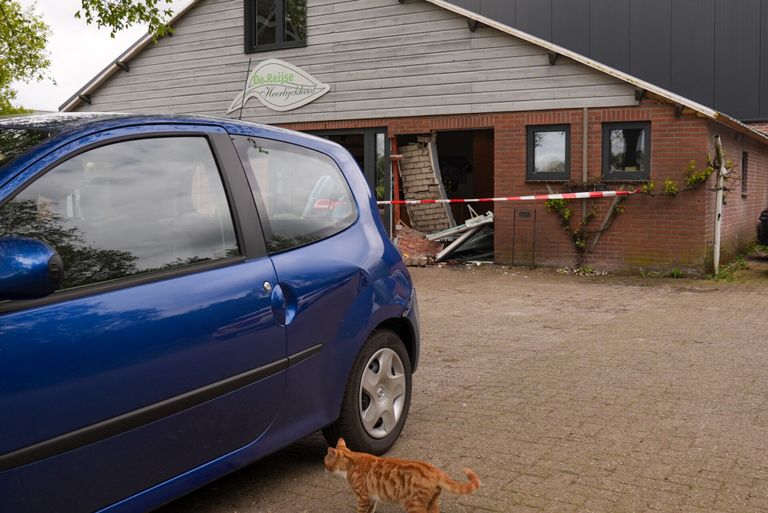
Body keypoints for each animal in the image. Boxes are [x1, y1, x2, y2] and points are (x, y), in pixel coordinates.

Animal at [324, 436, 480, 512]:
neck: (351, 460)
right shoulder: (372, 497)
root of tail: (434, 470)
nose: (325, 469)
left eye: (325, 462)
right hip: (432, 503)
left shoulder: (363, 497)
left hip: (414, 505)